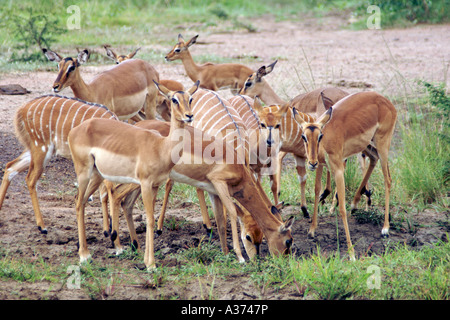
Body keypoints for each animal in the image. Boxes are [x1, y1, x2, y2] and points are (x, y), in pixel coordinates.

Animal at [0, 94, 118, 234]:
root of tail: (22, 109)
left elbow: (103, 193)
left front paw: (106, 229)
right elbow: (107, 191)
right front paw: (109, 230)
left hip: (34, 150)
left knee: (10, 167)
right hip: (42, 148)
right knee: (30, 179)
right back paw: (42, 226)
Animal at [67, 80, 199, 268]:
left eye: (190, 98)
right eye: (174, 99)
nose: (189, 116)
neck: (161, 146)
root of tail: (76, 129)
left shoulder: (155, 185)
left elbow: (150, 217)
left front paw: (146, 259)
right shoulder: (145, 184)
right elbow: (150, 220)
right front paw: (151, 264)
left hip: (97, 175)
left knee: (82, 200)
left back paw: (88, 250)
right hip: (84, 172)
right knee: (79, 202)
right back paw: (84, 255)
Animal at [294, 90, 396, 260]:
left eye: (320, 136)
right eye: (304, 136)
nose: (311, 163)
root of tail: (387, 102)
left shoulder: (338, 169)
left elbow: (341, 206)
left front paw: (352, 254)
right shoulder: (321, 166)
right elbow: (317, 191)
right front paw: (312, 231)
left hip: (383, 143)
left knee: (387, 179)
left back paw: (385, 229)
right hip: (368, 145)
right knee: (374, 159)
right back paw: (355, 205)